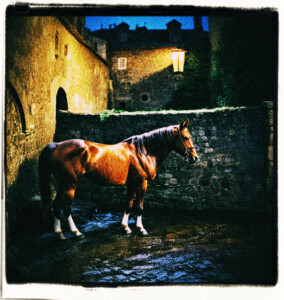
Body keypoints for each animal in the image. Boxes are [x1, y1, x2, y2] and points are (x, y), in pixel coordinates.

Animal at [38, 119, 199, 239]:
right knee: (66, 208)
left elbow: (128, 205)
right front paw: (141, 229)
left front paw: (125, 228)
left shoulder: (132, 185)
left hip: (63, 184)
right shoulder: (142, 184)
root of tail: (57, 145)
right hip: (70, 185)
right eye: (186, 137)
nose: (195, 158)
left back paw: (59, 234)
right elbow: (140, 207)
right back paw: (77, 233)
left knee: (56, 206)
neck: (143, 151)